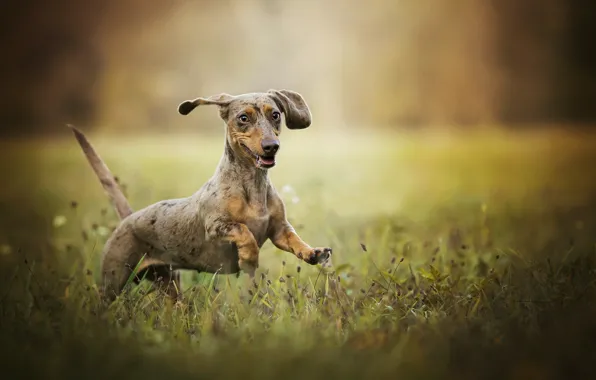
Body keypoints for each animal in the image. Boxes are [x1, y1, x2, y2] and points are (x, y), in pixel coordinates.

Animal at [70, 88, 332, 302]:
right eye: (243, 118)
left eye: (275, 114)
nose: (271, 146)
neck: (252, 185)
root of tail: (128, 219)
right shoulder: (216, 227)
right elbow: (244, 232)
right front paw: (248, 257)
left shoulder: (278, 229)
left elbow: (294, 239)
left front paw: (312, 252)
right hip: (113, 281)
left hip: (168, 282)